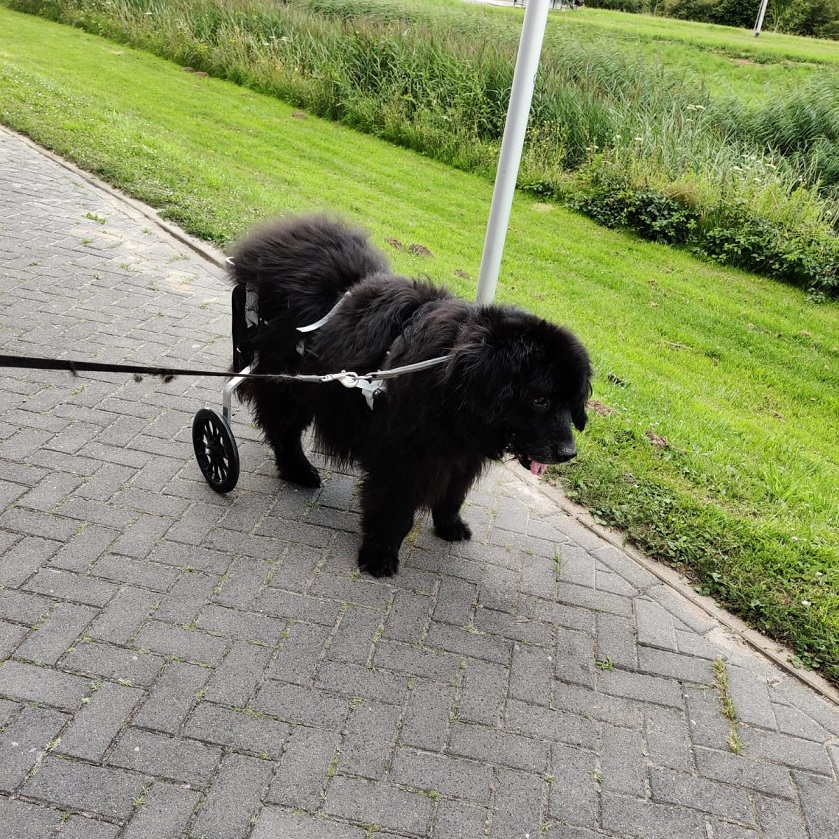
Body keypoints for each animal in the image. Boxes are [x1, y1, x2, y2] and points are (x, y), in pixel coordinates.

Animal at [226, 215, 592, 576]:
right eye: (540, 399)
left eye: (572, 402)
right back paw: (298, 471)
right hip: (291, 383)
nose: (568, 453)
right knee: (282, 428)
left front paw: (449, 526)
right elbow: (394, 508)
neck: (454, 378)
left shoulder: (460, 454)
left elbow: (454, 494)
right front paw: (380, 556)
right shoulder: (403, 454)